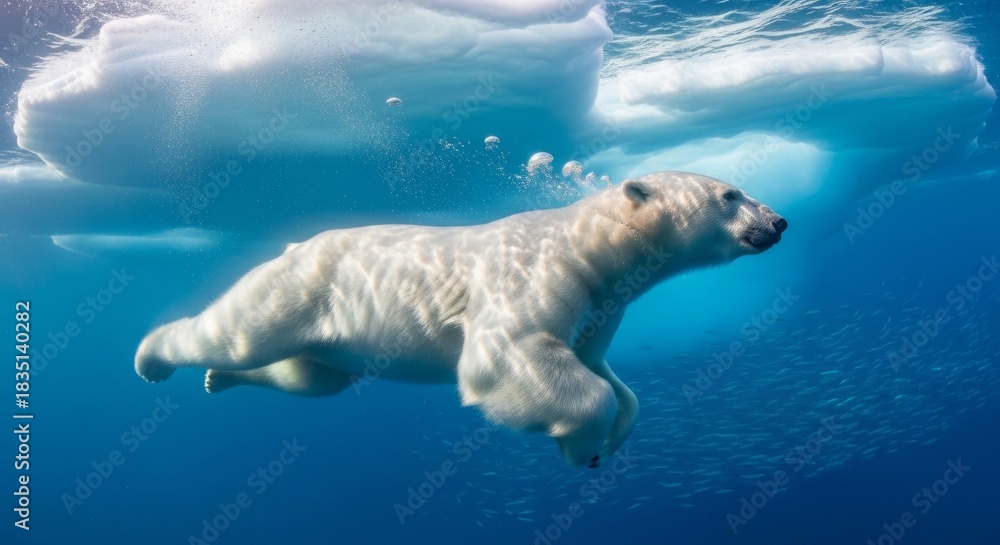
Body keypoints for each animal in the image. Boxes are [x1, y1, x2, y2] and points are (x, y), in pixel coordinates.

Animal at [135, 171, 786, 467]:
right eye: (730, 195)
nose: (778, 221)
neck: (589, 245)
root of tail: (293, 248)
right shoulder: (536, 277)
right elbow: (509, 355)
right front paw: (581, 444)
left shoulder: (602, 303)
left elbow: (605, 373)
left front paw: (612, 437)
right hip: (302, 288)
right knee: (238, 335)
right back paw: (153, 357)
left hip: (330, 331)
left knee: (312, 377)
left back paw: (220, 380)